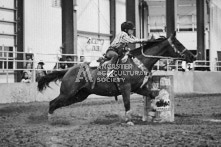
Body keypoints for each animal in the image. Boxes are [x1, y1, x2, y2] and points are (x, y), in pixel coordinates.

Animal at [37, 32, 195, 124]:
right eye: (179, 43)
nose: (193, 56)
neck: (138, 61)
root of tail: (68, 70)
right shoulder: (125, 88)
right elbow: (127, 103)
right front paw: (128, 120)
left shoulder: (139, 88)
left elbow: (153, 94)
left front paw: (160, 106)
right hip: (68, 92)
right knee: (53, 103)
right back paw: (50, 120)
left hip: (78, 96)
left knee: (56, 104)